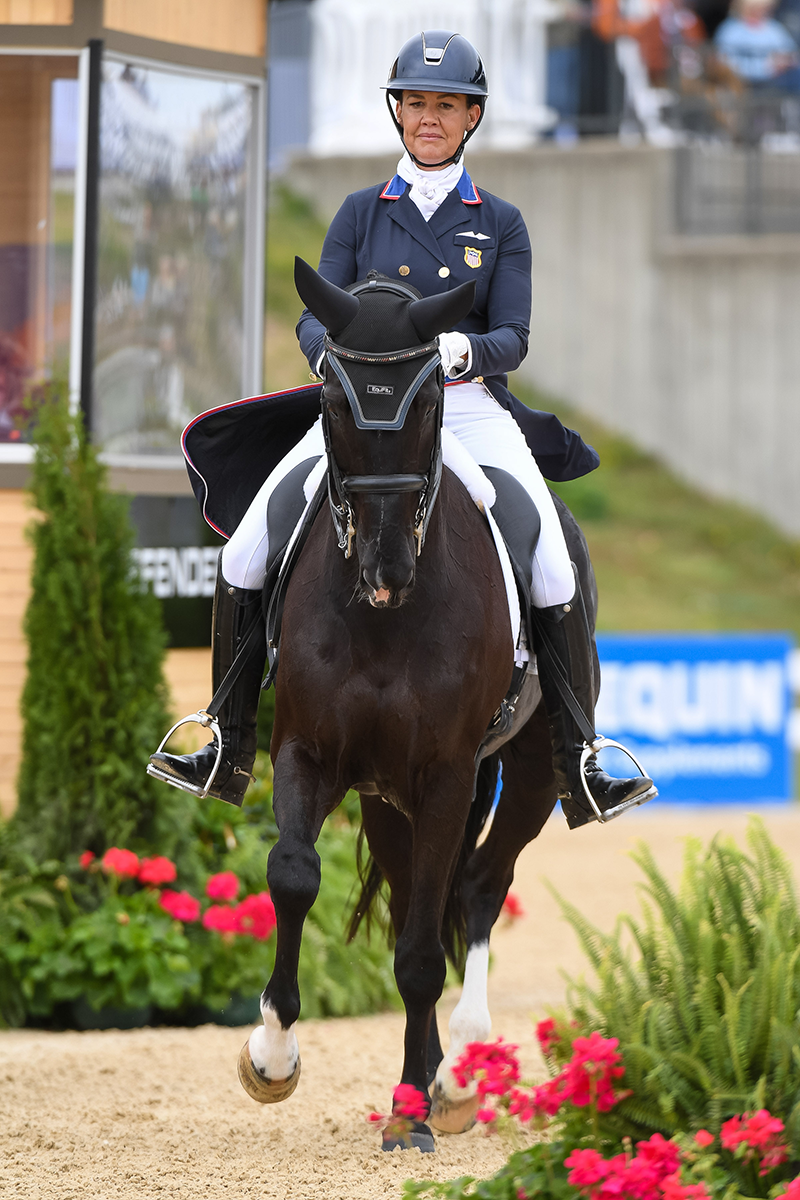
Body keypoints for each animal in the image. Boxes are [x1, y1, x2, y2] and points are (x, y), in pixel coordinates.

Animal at [235, 260, 597, 1142]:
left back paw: (457, 1070)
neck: (383, 620)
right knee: (413, 903)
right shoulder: (309, 752)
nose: (386, 566)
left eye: (432, 396)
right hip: (383, 796)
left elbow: (426, 950)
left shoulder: (446, 775)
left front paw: (412, 1111)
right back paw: (432, 1073)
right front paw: (273, 1057)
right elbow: (294, 876)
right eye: (333, 402)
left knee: (476, 888)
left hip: (527, 777)